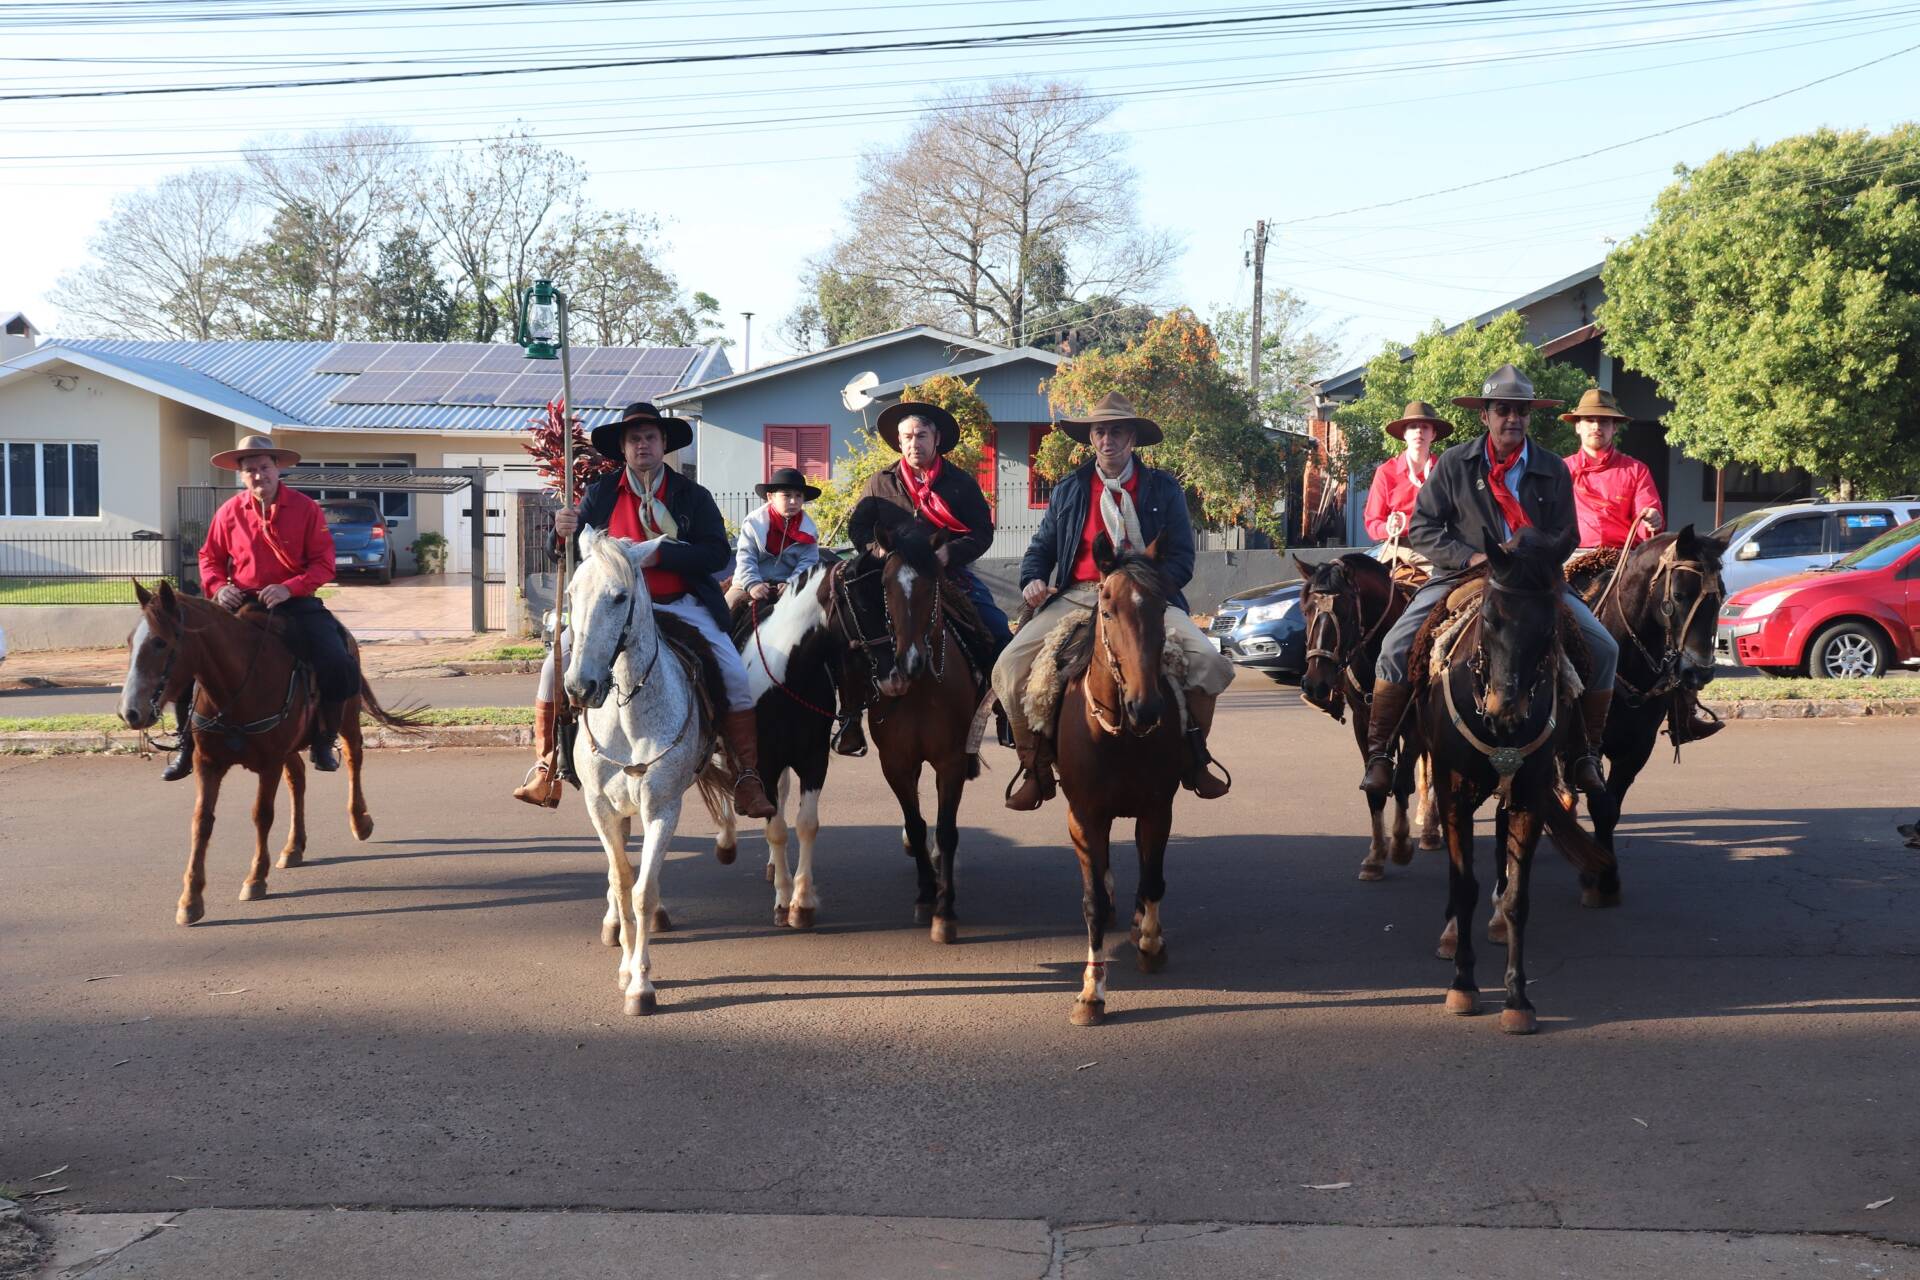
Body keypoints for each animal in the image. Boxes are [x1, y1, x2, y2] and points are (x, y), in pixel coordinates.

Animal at [117, 587, 420, 924]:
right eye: (130, 641)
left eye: (160, 642)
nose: (130, 712)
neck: (237, 686)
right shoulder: (207, 763)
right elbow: (201, 821)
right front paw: (191, 898)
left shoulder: (269, 764)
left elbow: (262, 815)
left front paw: (255, 878)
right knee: (298, 778)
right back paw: (293, 846)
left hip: (347, 717)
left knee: (354, 759)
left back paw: (359, 820)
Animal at [837, 518, 990, 940]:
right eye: (886, 584)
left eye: (931, 584)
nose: (909, 662)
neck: (920, 691)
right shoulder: (896, 763)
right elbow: (917, 825)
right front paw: (925, 895)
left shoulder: (950, 762)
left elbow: (945, 831)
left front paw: (945, 911)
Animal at [1052, 537, 1182, 1028]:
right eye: (1106, 610)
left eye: (1162, 607)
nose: (1146, 708)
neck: (1121, 734)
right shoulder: (1085, 816)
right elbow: (1091, 901)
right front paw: (1092, 992)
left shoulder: (1158, 810)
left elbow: (1153, 881)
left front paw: (1150, 943)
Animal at [1290, 556, 1443, 886]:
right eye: (1305, 609)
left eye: (1346, 612)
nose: (1315, 684)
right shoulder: (1363, 722)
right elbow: (1375, 787)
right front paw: (1375, 857)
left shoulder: (1413, 726)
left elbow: (1401, 782)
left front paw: (1400, 845)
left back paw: (1429, 828)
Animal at [1413, 537, 1620, 1036]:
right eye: (1490, 617)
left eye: (1548, 625)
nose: (1505, 711)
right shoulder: (1453, 794)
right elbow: (1463, 886)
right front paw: (1463, 985)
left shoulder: (1529, 796)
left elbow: (1517, 898)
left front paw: (1517, 999)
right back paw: (1451, 933)